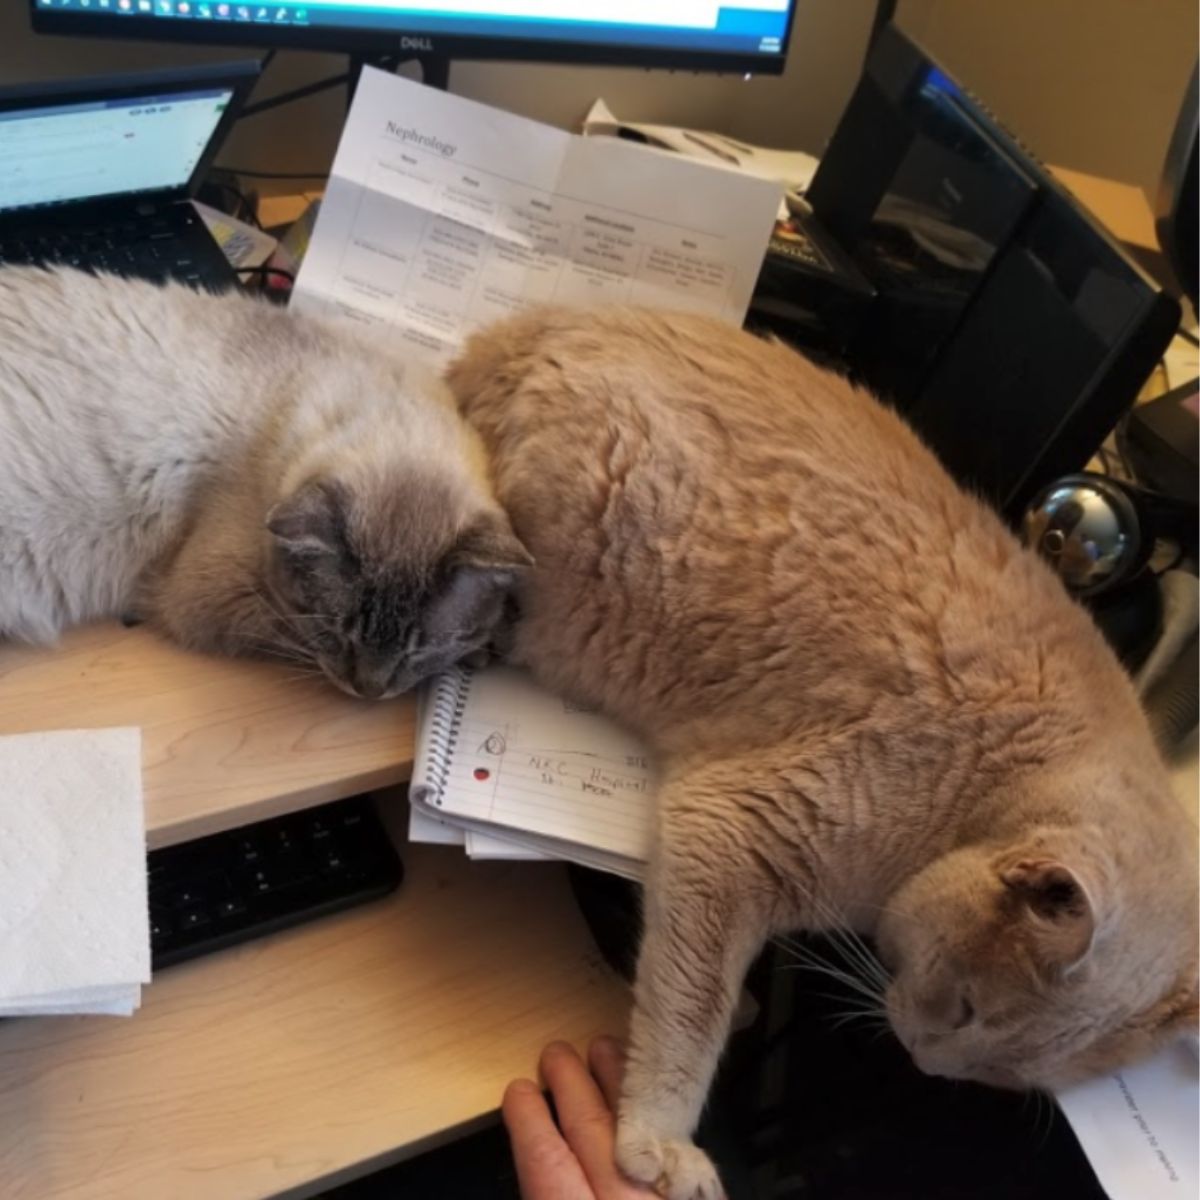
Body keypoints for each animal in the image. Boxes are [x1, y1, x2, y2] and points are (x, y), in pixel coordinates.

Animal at [0, 266, 525, 691]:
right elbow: (289, 631)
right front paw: (482, 651)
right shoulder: (210, 597)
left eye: (418, 649)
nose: (369, 692)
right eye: (338, 631)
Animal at [451, 307, 1200, 1200]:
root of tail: (523, 329)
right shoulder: (733, 834)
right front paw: (660, 1145)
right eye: (967, 1010)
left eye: (996, 1074)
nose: (923, 1060)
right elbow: (691, 1009)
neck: (986, 794)